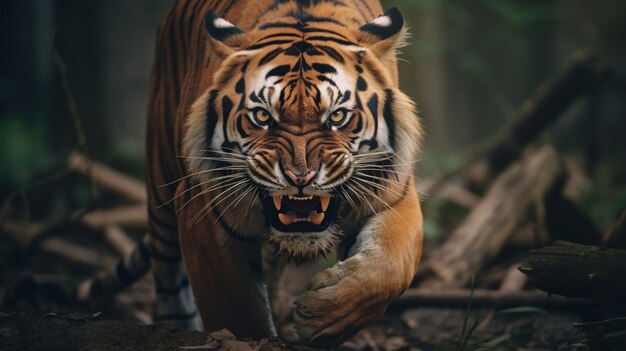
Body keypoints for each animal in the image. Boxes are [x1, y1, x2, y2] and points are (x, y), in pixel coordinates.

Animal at [75, 0, 422, 346]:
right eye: (262, 117)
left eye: (336, 116)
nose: (300, 177)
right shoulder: (202, 209)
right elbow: (237, 308)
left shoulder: (394, 191)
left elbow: (391, 267)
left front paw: (324, 316)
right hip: (161, 186)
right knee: (169, 281)